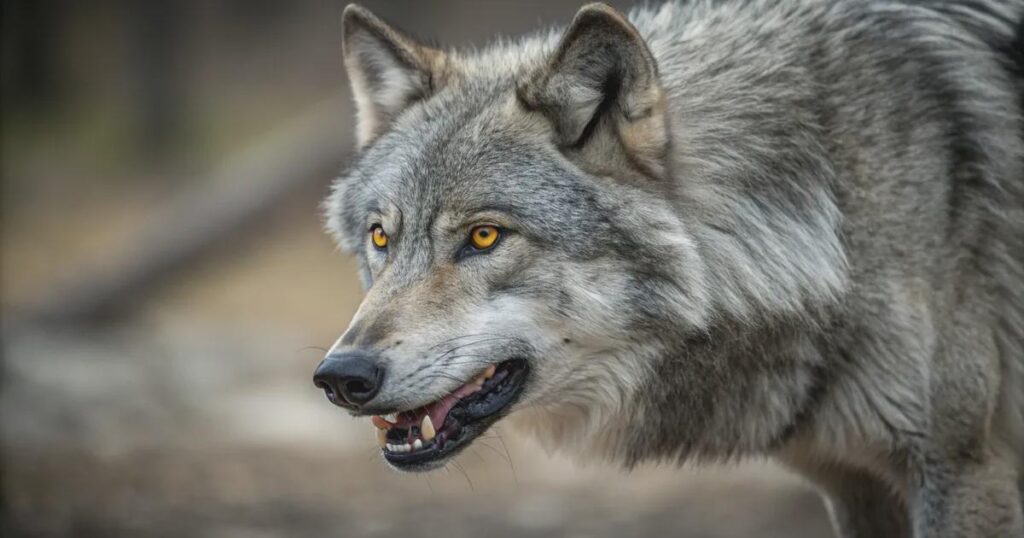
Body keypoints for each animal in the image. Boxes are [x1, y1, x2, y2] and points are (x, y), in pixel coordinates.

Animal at [312, 1, 1024, 536]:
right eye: (381, 236)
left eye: (485, 236)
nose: (341, 376)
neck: (835, 213)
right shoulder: (855, 486)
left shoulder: (963, 468)